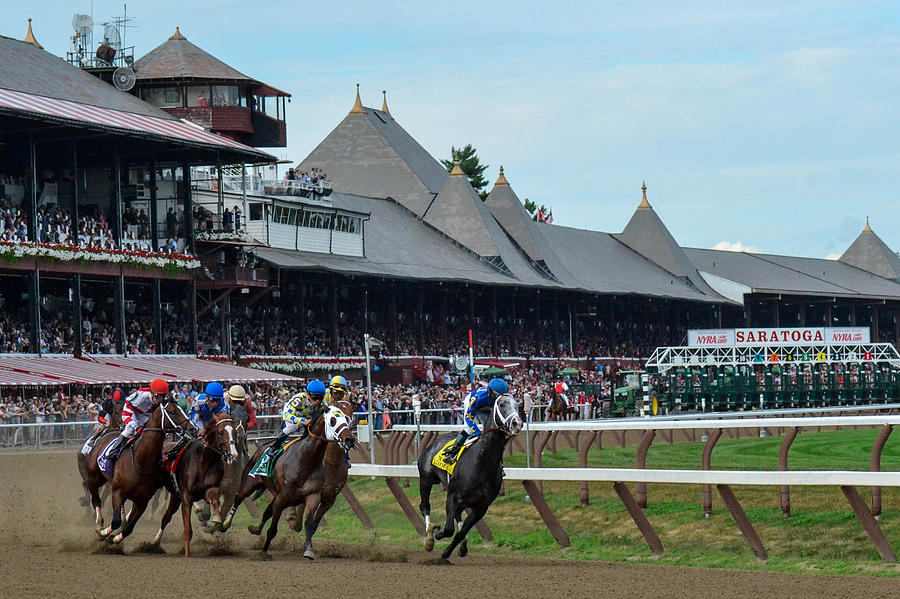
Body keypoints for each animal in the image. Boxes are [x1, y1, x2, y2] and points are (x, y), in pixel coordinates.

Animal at [96, 400, 192, 548]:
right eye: (172, 412)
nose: (193, 428)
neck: (140, 460)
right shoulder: (118, 490)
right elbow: (117, 520)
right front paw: (105, 533)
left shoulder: (145, 499)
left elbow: (129, 526)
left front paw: (114, 537)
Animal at [145, 412, 236, 556]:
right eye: (221, 432)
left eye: (235, 432)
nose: (233, 453)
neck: (204, 461)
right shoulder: (186, 496)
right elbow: (188, 530)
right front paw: (187, 555)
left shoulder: (209, 489)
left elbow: (214, 497)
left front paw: (216, 518)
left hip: (175, 497)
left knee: (166, 516)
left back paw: (155, 542)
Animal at [218, 404, 356, 556]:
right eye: (332, 420)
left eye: (347, 418)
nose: (349, 439)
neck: (307, 461)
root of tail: (261, 448)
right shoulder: (282, 498)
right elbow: (273, 529)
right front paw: (264, 552)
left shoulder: (313, 496)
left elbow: (309, 524)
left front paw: (309, 550)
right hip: (249, 483)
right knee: (238, 498)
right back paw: (225, 524)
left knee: (267, 511)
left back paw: (255, 529)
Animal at [418, 396, 524, 560]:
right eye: (501, 404)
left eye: (518, 405)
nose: (517, 423)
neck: (482, 463)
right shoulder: (452, 496)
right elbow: (448, 529)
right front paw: (437, 532)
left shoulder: (481, 508)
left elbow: (460, 533)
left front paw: (449, 551)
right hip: (426, 479)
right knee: (424, 506)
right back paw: (429, 538)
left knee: (456, 515)